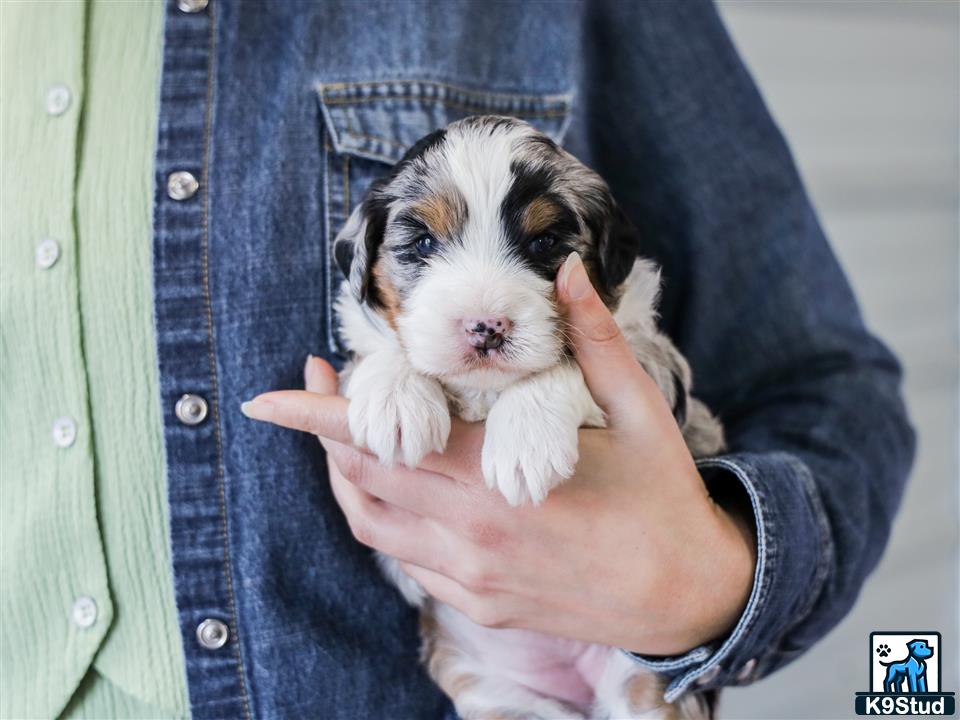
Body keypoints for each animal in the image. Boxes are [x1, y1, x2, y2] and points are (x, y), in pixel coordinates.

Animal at [334, 116, 724, 720]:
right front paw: (395, 401)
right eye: (422, 244)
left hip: (646, 689)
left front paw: (525, 442)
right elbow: (378, 350)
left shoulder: (654, 369)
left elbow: (567, 361)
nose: (485, 326)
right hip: (501, 698)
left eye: (544, 242)